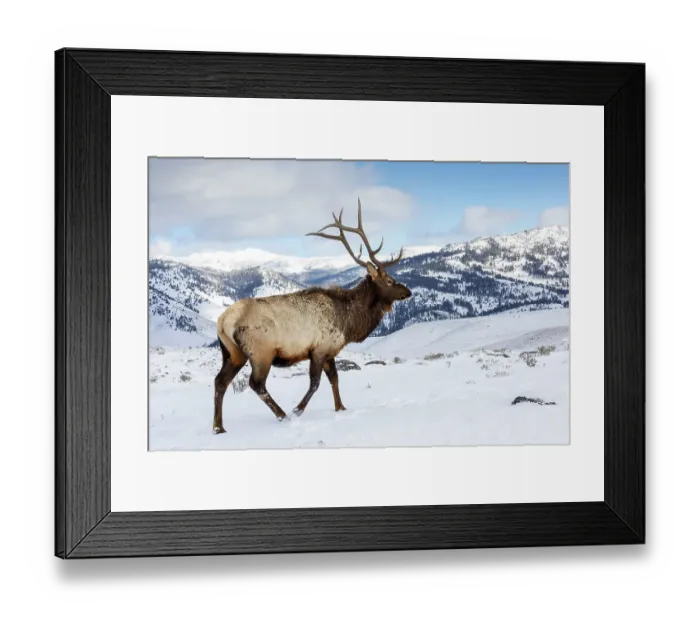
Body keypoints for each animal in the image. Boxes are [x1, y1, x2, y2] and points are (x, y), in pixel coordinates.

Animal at [212, 198, 412, 434]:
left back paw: (218, 427)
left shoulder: (330, 351)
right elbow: (315, 383)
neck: (349, 321)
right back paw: (281, 414)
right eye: (389, 280)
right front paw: (298, 409)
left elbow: (335, 378)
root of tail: (223, 321)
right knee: (256, 383)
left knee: (220, 381)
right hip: (261, 352)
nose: (408, 292)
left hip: (232, 353)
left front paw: (340, 407)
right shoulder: (318, 349)